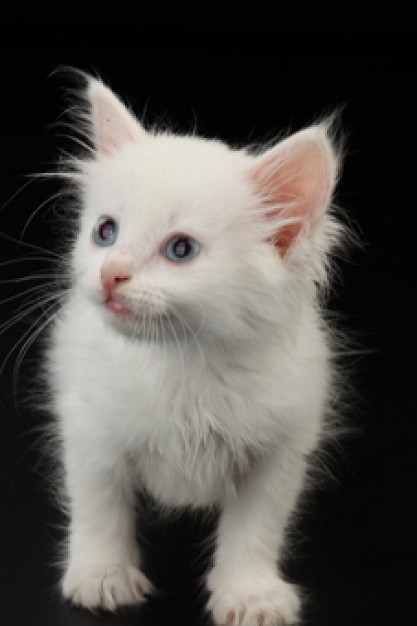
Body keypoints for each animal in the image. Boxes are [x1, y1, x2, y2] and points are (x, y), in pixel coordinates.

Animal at [46, 75, 344, 620]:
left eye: (180, 249)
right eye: (105, 231)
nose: (110, 273)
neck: (185, 362)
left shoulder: (280, 447)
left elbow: (255, 528)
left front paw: (250, 594)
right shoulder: (89, 429)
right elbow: (99, 507)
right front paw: (102, 576)